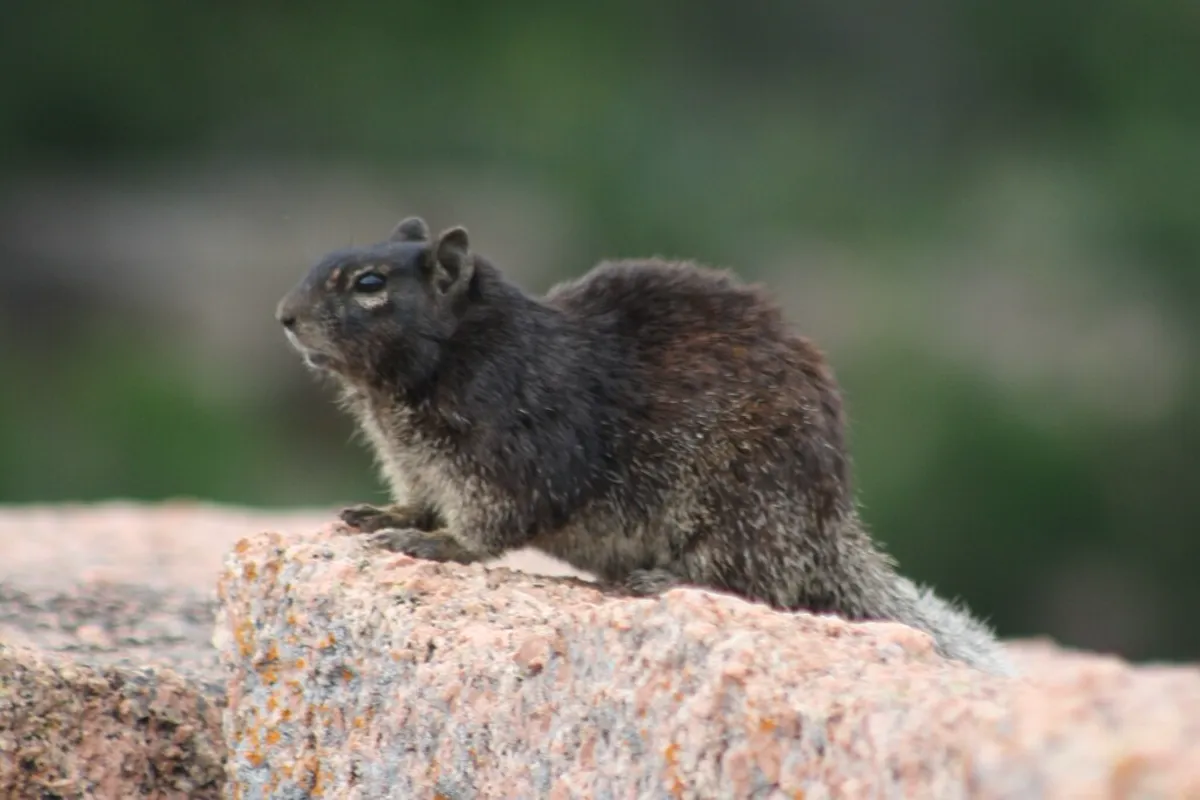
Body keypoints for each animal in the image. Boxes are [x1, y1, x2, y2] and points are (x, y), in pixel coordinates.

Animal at [275, 215, 1013, 675]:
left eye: (370, 284)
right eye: (319, 265)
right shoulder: (411, 460)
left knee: (759, 583)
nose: (283, 316)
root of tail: (832, 529)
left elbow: (495, 516)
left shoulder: (510, 443)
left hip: (746, 497)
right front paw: (385, 515)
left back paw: (664, 579)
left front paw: (439, 544)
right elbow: (418, 496)